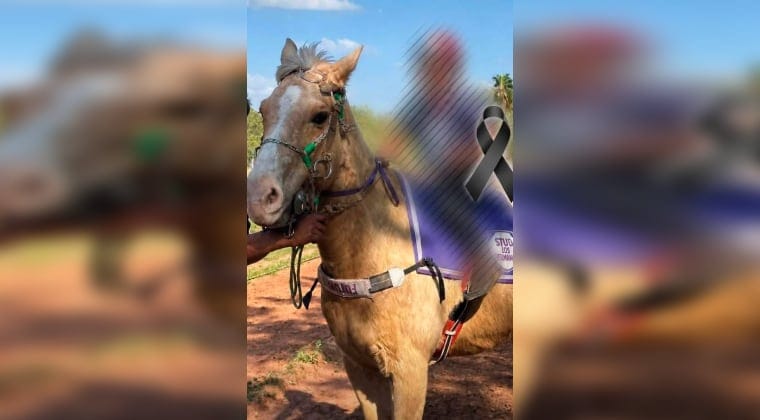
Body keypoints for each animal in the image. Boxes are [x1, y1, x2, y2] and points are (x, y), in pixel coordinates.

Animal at [248, 39, 513, 419]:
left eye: (319, 116)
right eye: (264, 110)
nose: (259, 198)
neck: (373, 248)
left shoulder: (410, 373)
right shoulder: (359, 368)